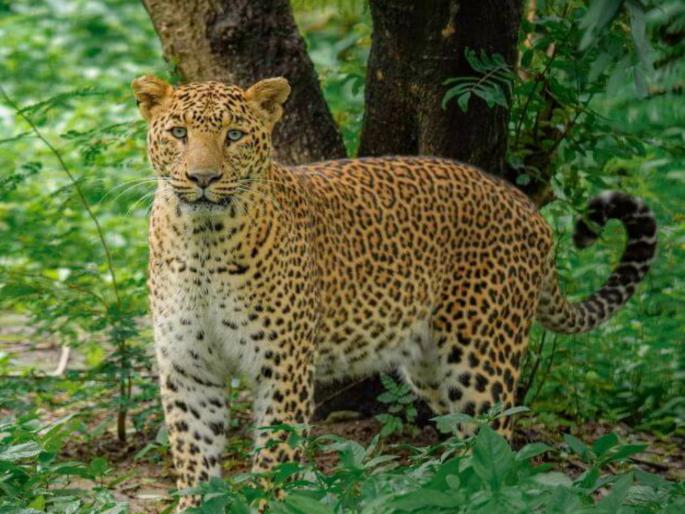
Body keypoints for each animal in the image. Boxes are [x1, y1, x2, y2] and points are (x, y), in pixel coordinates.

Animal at [131, 75, 657, 510]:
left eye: (235, 136)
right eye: (178, 133)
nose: (202, 178)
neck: (204, 240)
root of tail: (527, 207)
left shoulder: (282, 368)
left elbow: (275, 460)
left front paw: (267, 504)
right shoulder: (188, 367)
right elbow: (194, 455)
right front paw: (194, 504)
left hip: (480, 360)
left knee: (500, 445)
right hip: (431, 368)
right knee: (469, 442)